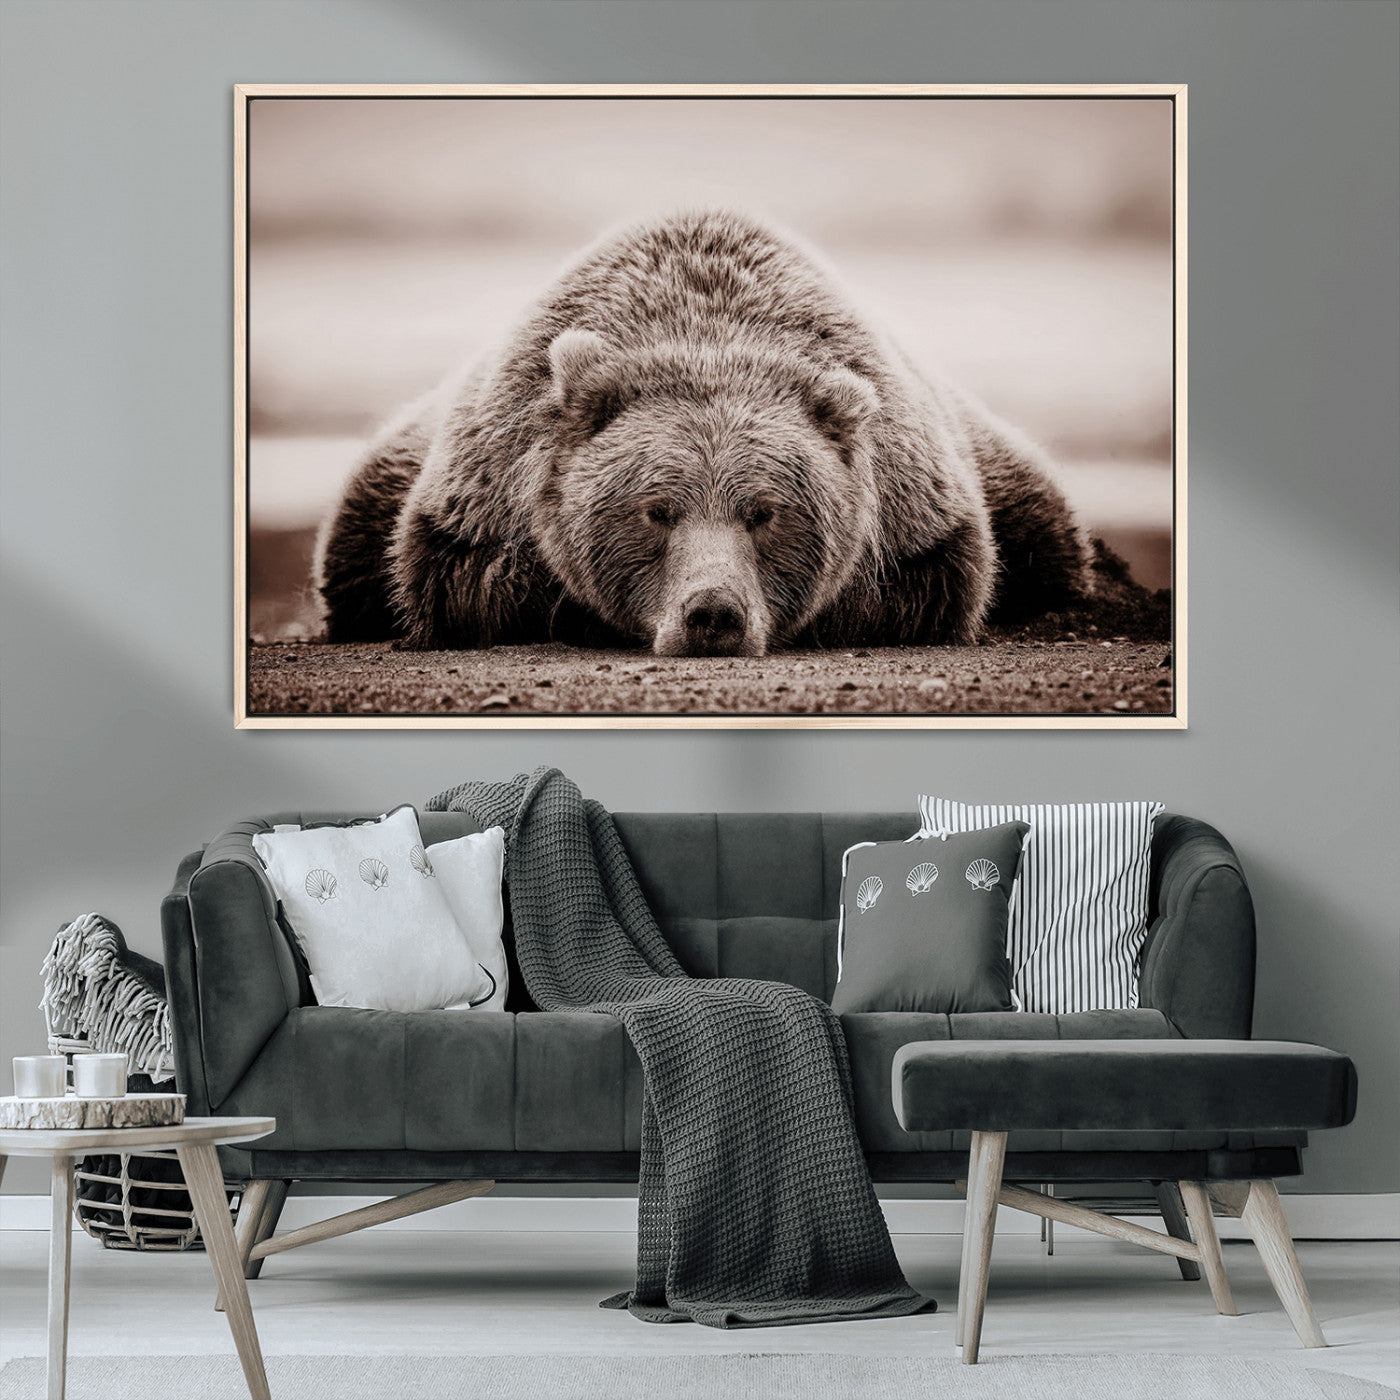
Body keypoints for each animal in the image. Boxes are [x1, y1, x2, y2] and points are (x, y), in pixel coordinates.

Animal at [315, 209, 1089, 656]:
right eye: (657, 510)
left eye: (765, 512)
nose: (713, 614)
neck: (707, 332)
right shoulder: (484, 489)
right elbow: (463, 578)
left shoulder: (915, 504)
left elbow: (933, 580)